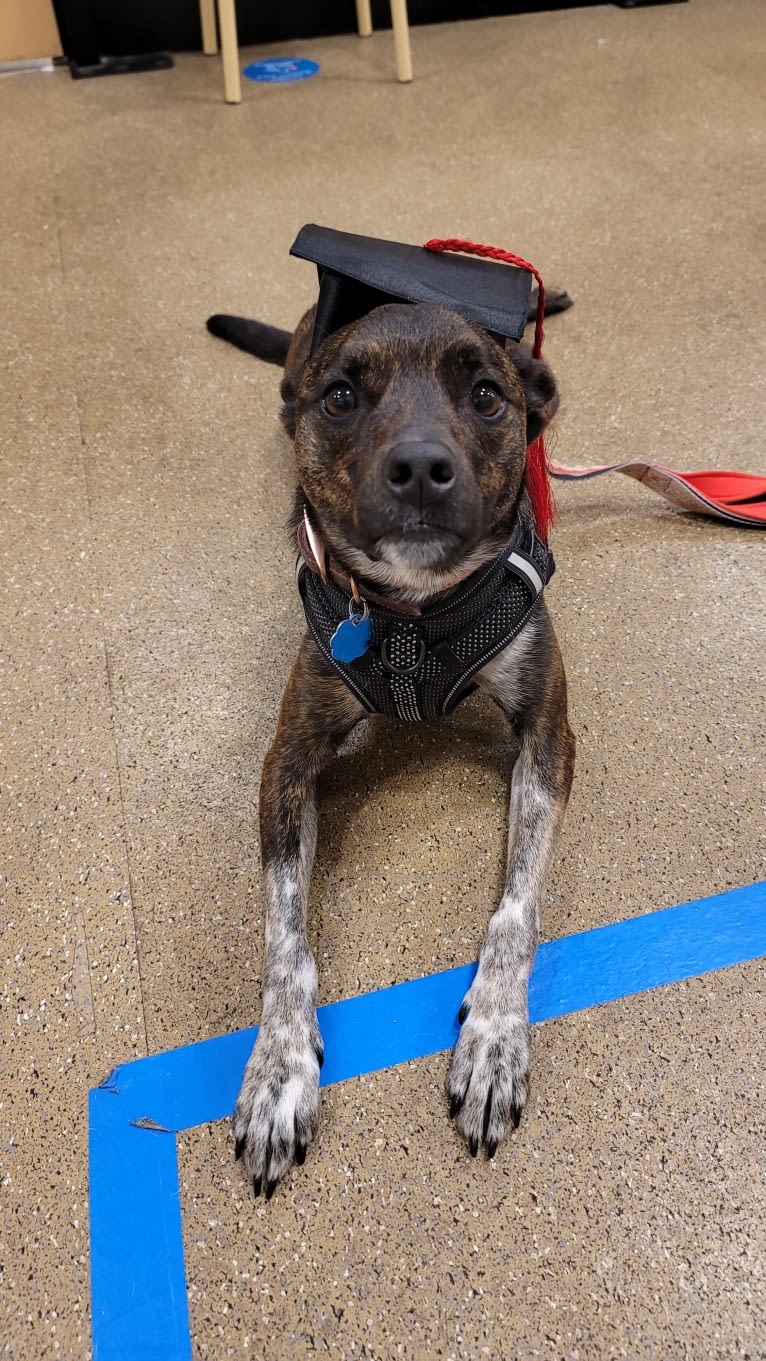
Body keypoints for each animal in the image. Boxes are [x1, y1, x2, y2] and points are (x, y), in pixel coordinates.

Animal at [208, 247, 576, 1203]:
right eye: (343, 397)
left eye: (486, 396)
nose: (418, 468)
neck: (414, 613)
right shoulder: (287, 761)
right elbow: (283, 933)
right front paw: (277, 1070)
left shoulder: (549, 736)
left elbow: (516, 910)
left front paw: (494, 1039)